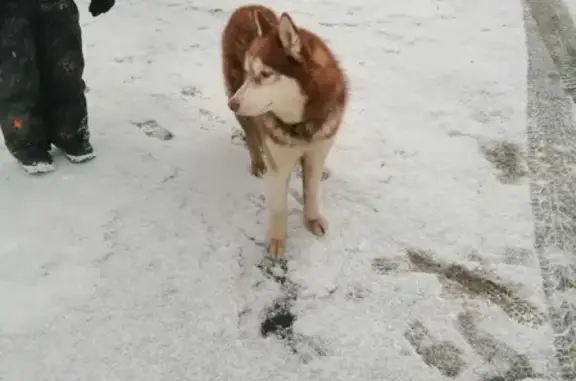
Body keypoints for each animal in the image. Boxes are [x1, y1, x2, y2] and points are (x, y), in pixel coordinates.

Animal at [222, 5, 346, 255]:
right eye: (249, 72)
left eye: (265, 74)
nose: (232, 104)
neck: (303, 123)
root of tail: (246, 7)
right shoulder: (279, 161)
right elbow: (279, 205)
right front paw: (277, 241)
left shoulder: (318, 149)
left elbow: (312, 190)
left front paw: (312, 219)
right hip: (243, 108)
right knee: (252, 136)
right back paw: (258, 162)